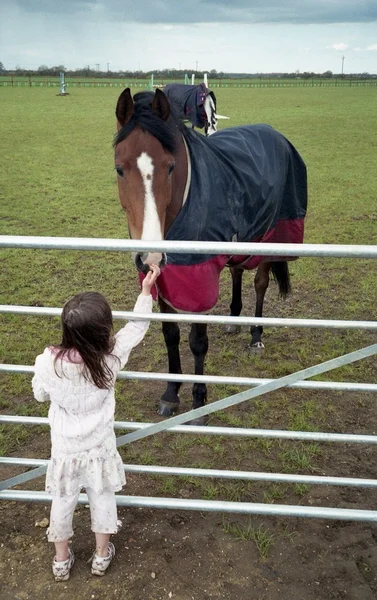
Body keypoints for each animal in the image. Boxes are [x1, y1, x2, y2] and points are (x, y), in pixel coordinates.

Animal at [113, 88, 306, 426]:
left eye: (170, 167)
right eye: (119, 169)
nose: (150, 256)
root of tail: (274, 133)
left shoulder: (198, 281)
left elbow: (197, 342)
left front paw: (199, 402)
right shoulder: (164, 280)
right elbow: (170, 335)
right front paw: (170, 393)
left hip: (271, 237)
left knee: (260, 283)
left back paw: (256, 337)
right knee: (237, 271)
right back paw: (233, 320)